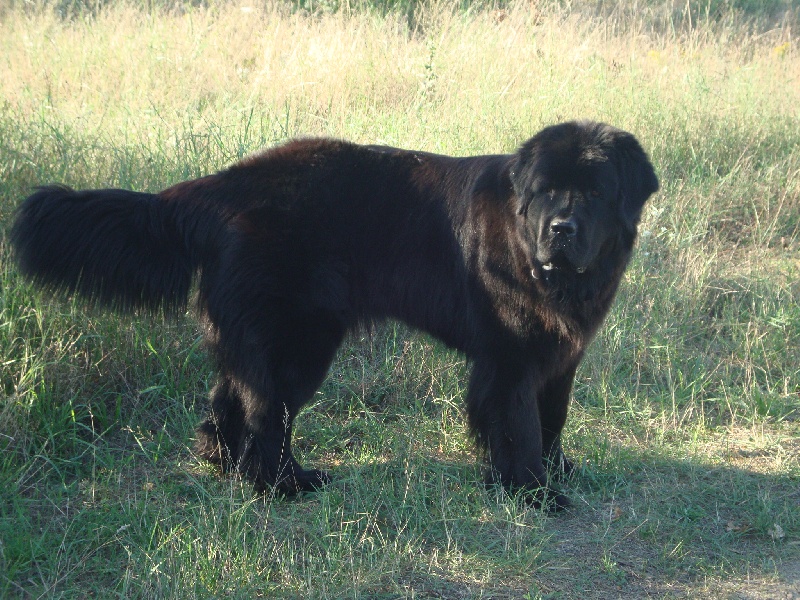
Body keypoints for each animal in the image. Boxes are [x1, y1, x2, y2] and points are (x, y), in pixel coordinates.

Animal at [10, 120, 656, 506]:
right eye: (546, 191)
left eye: (594, 193)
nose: (561, 228)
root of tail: (220, 187)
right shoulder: (510, 359)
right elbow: (519, 426)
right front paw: (531, 492)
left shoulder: (560, 353)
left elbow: (552, 418)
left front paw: (556, 470)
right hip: (300, 340)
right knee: (267, 414)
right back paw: (284, 484)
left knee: (231, 401)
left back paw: (225, 467)